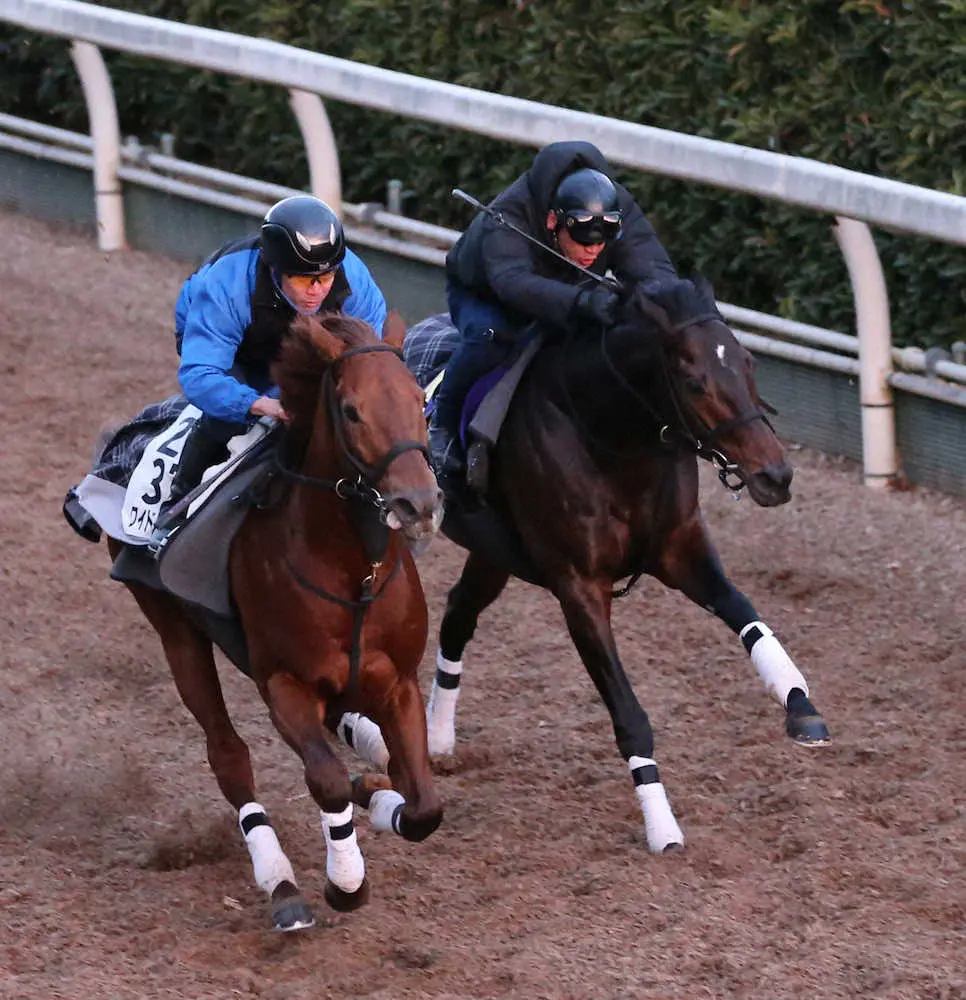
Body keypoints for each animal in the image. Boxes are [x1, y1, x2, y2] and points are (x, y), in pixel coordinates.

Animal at [110, 312, 445, 930]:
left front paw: (382, 796)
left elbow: (422, 806)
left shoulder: (399, 681)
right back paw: (281, 884)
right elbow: (326, 780)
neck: (353, 574)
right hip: (177, 634)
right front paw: (345, 882)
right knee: (229, 756)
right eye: (352, 410)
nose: (419, 504)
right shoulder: (284, 683)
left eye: (419, 401)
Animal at [421, 277, 830, 852]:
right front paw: (662, 827)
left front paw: (799, 703)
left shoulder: (679, 548)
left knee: (459, 613)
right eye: (694, 382)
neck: (607, 435)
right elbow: (628, 713)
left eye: (748, 363)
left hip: (493, 550)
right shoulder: (579, 586)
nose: (776, 475)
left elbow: (744, 613)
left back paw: (438, 737)